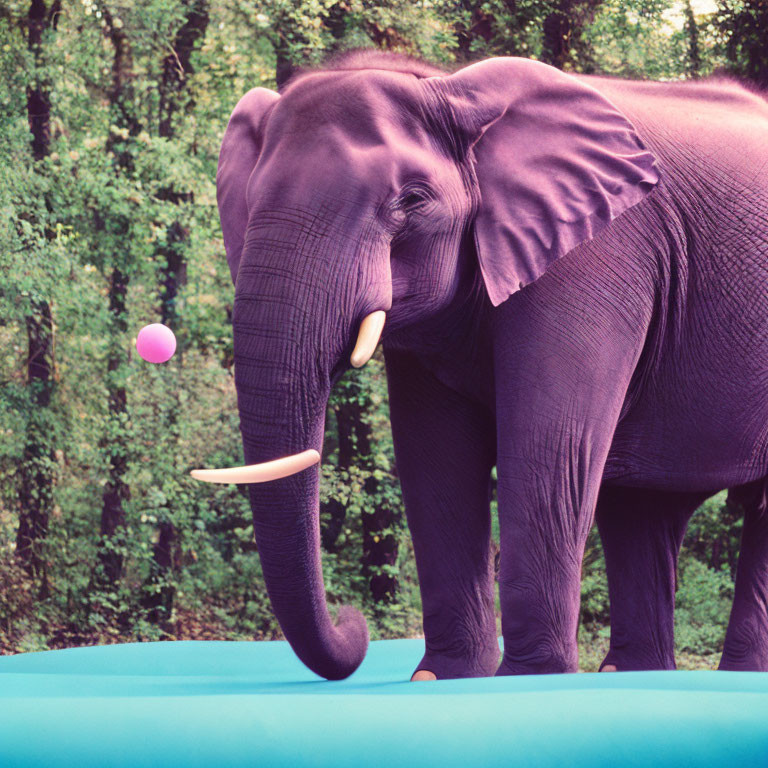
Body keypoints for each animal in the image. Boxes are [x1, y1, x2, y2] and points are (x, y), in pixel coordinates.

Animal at [190, 51, 768, 680]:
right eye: (251, 201)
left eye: (412, 201)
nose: (353, 620)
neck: (448, 88)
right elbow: (435, 458)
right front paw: (441, 677)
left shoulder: (599, 253)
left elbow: (548, 447)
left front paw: (530, 679)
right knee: (640, 510)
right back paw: (636, 674)